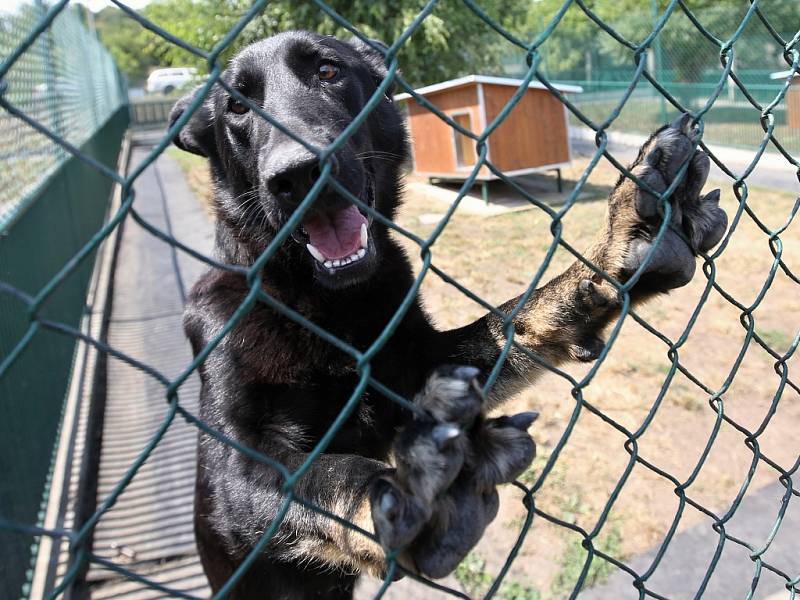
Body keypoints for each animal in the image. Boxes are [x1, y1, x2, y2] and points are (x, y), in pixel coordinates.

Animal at [172, 30, 728, 596]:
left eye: (327, 71)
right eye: (236, 107)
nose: (299, 173)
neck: (333, 306)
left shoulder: (421, 363)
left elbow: (509, 321)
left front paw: (624, 247)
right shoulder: (237, 466)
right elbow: (327, 474)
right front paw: (409, 485)